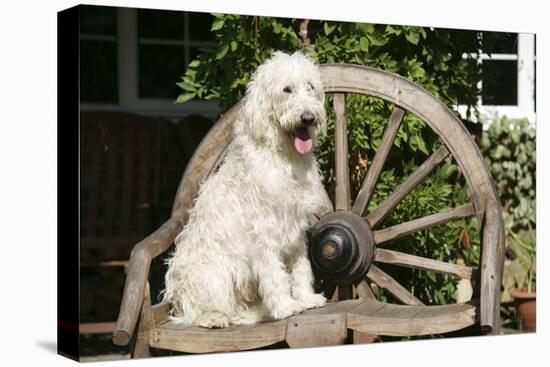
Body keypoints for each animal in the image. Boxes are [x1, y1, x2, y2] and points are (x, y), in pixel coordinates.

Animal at [163, 51, 328, 328]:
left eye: (310, 87)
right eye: (287, 89)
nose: (308, 117)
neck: (282, 157)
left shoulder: (295, 230)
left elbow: (301, 267)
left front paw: (305, 298)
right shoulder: (265, 231)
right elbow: (274, 274)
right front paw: (285, 307)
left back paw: (255, 313)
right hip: (211, 272)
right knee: (196, 312)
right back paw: (214, 318)